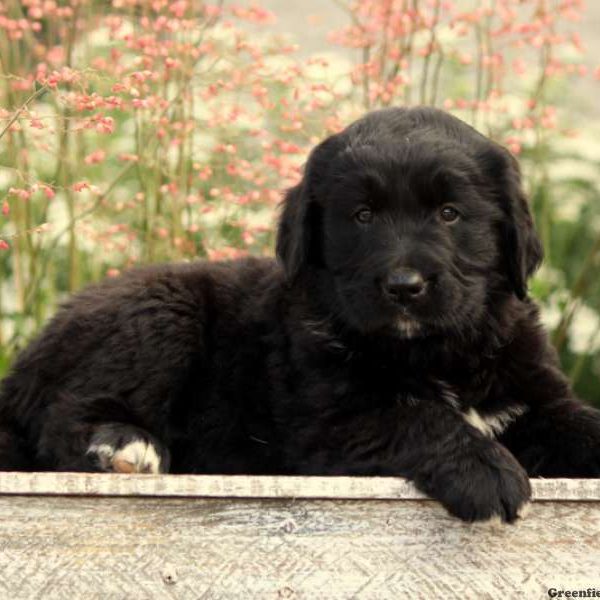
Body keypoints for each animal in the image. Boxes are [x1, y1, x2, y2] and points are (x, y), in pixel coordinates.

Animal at [1, 106, 600, 520]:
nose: (403, 287)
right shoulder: (331, 420)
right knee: (61, 419)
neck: (432, 351)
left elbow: (579, 422)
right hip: (160, 312)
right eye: (362, 215)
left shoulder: (536, 400)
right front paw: (486, 470)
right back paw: (126, 446)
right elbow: (415, 416)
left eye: (450, 213)